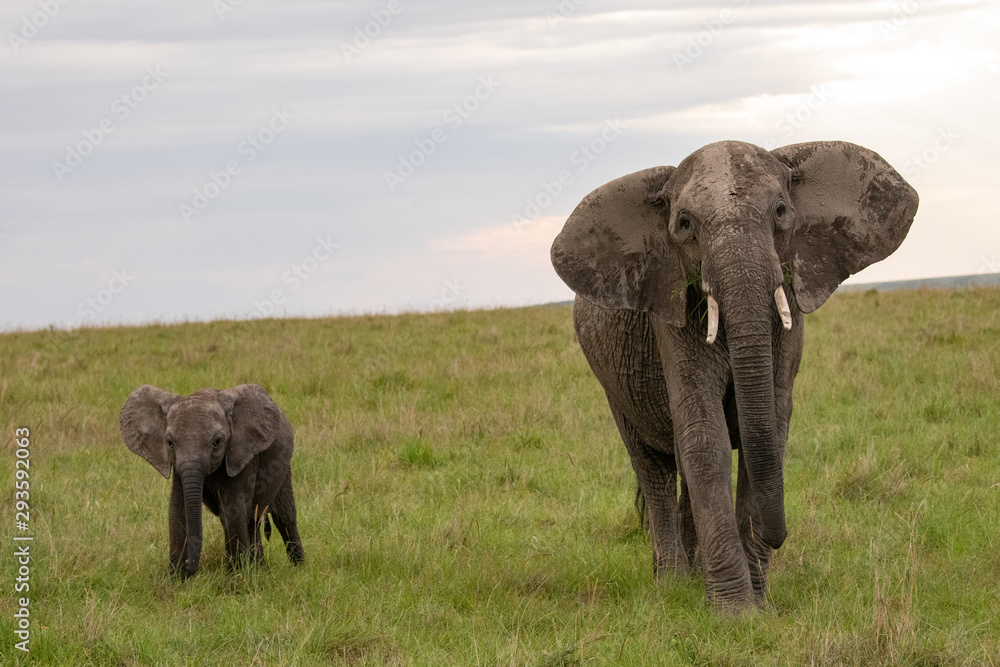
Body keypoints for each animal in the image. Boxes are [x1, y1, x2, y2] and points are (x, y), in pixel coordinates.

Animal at [120, 383, 305, 578]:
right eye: (169, 443)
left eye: (217, 441)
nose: (191, 565)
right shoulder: (178, 468)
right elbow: (178, 510)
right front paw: (177, 581)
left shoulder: (243, 454)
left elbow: (233, 510)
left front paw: (235, 580)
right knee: (252, 521)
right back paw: (259, 571)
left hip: (284, 468)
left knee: (284, 517)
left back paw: (299, 570)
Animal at [551, 140, 917, 610]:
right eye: (684, 224)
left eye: (781, 210)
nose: (778, 536)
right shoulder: (672, 308)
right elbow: (706, 436)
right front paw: (736, 612)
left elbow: (768, 428)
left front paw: (758, 604)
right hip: (612, 385)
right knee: (651, 467)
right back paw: (671, 583)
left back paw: (693, 578)